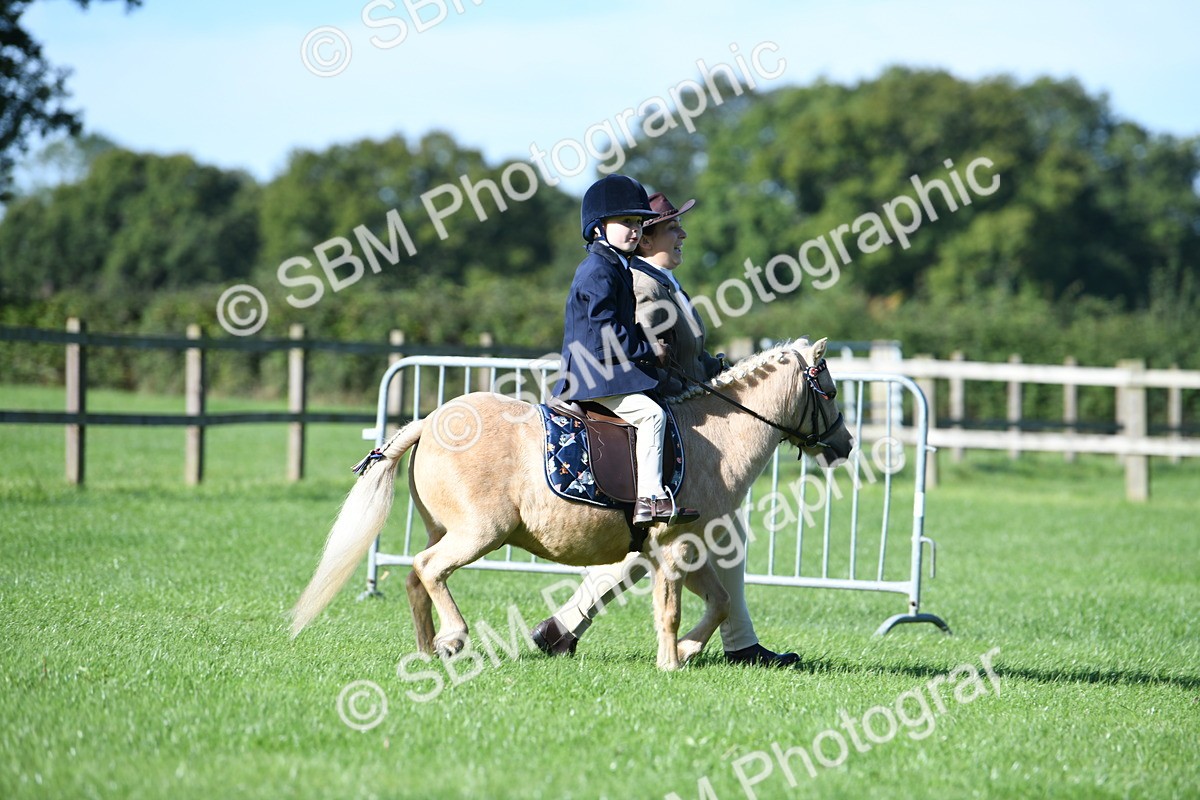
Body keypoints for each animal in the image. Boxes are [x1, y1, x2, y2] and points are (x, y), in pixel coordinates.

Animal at [290, 337, 854, 670]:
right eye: (827, 390)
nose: (845, 444)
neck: (715, 437)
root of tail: (430, 421)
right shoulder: (675, 548)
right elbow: (673, 609)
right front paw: (671, 661)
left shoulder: (674, 551)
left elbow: (717, 602)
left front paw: (687, 650)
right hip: (479, 533)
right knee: (429, 568)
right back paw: (453, 637)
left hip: (446, 529)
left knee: (416, 577)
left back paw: (430, 650)